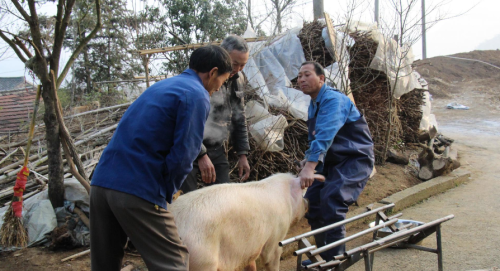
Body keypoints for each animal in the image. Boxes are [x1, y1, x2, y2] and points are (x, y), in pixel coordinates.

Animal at [168, 174, 324, 271]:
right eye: (303, 191)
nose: (308, 200)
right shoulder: (276, 235)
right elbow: (271, 257)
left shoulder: (250, 246)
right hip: (202, 259)